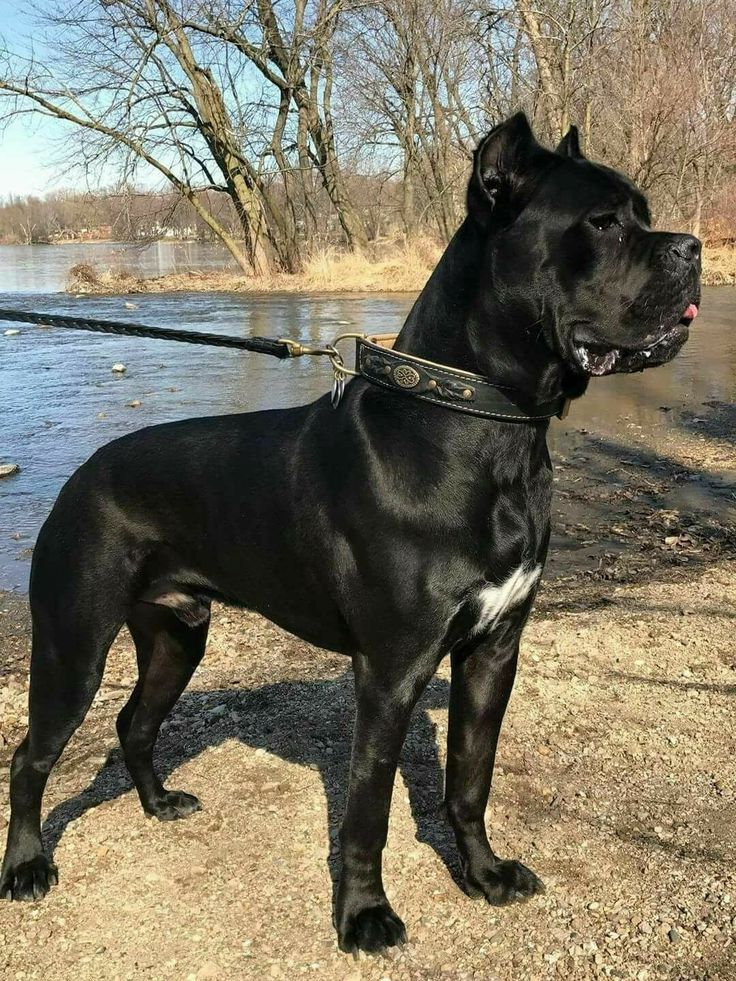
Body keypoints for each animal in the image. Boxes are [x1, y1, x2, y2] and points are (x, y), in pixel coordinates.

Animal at [1, 113, 700, 948]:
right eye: (601, 222)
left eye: (643, 212)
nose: (693, 248)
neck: (487, 426)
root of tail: (81, 475)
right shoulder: (392, 667)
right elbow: (369, 807)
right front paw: (364, 912)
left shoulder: (494, 649)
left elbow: (471, 777)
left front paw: (484, 874)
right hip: (73, 645)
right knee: (32, 755)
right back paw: (26, 866)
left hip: (177, 636)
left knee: (134, 723)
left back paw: (159, 802)